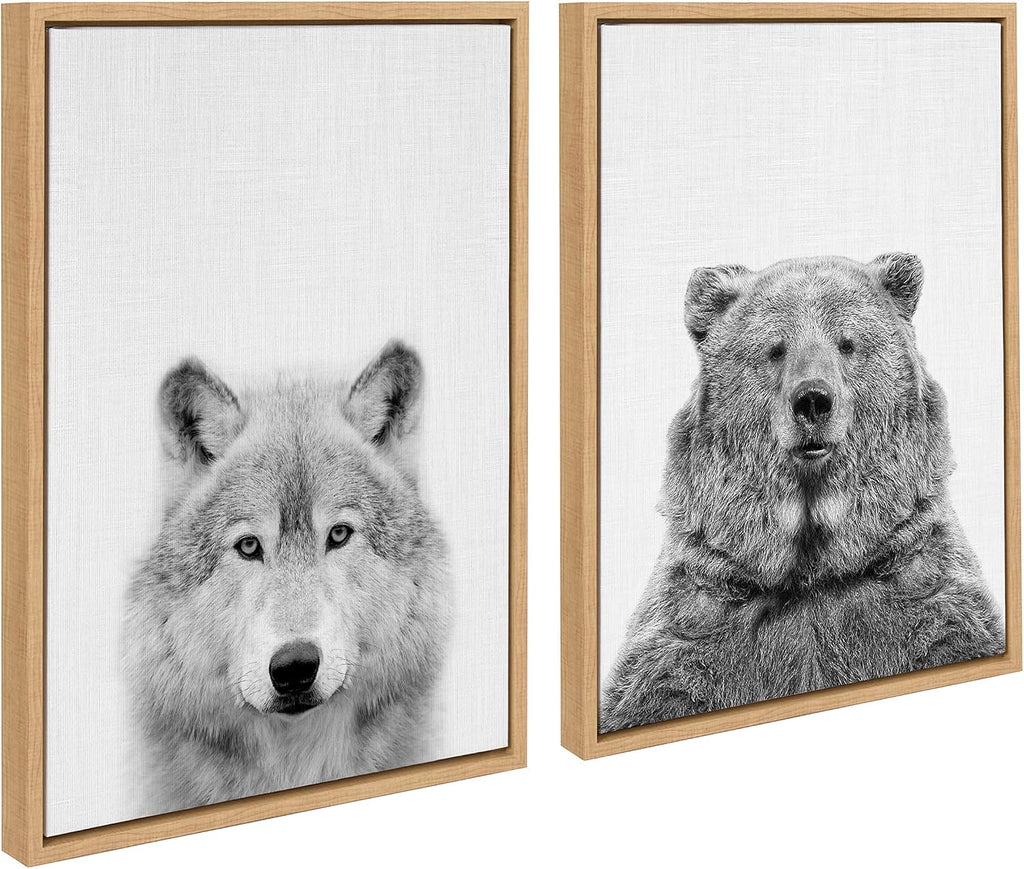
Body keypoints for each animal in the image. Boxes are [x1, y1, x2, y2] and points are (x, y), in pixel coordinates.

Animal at [600, 253, 1005, 734]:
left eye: (847, 343)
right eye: (775, 349)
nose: (812, 400)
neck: (812, 564)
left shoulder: (928, 595)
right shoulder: (695, 625)